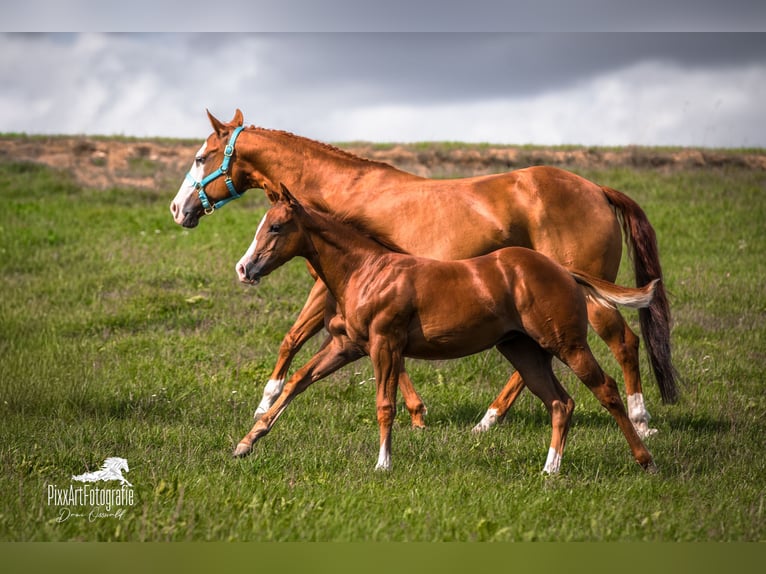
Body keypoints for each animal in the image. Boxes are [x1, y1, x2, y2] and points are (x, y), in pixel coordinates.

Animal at [169, 109, 677, 438]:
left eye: (201, 157)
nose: (178, 209)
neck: (346, 193)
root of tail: (597, 188)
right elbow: (296, 339)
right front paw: (266, 404)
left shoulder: (341, 288)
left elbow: (304, 339)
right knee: (539, 363)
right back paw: (488, 420)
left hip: (585, 297)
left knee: (622, 341)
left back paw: (641, 423)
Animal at [233, 185, 658, 474]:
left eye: (275, 227)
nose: (244, 268)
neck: (367, 272)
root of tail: (565, 271)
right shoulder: (346, 346)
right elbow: (297, 382)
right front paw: (246, 442)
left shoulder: (385, 345)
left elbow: (384, 404)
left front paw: (383, 464)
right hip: (522, 350)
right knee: (560, 403)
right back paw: (550, 470)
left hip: (567, 344)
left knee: (605, 389)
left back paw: (645, 458)